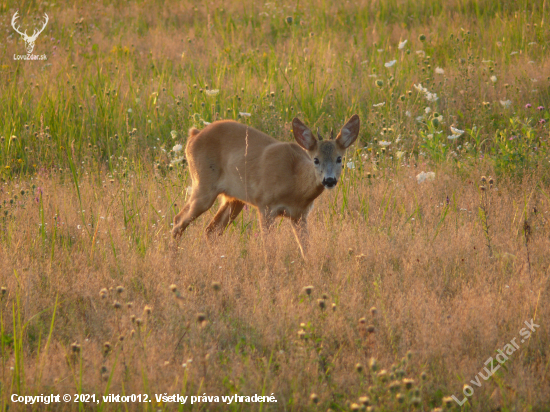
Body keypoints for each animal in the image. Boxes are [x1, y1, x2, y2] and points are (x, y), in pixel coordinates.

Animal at [172, 114, 362, 260]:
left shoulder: (300, 215)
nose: (329, 180)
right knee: (179, 220)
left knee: (211, 230)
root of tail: (193, 135)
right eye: (315, 159)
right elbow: (270, 250)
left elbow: (305, 248)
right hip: (203, 185)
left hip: (234, 199)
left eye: (339, 158)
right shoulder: (265, 205)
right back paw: (173, 259)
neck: (295, 183)